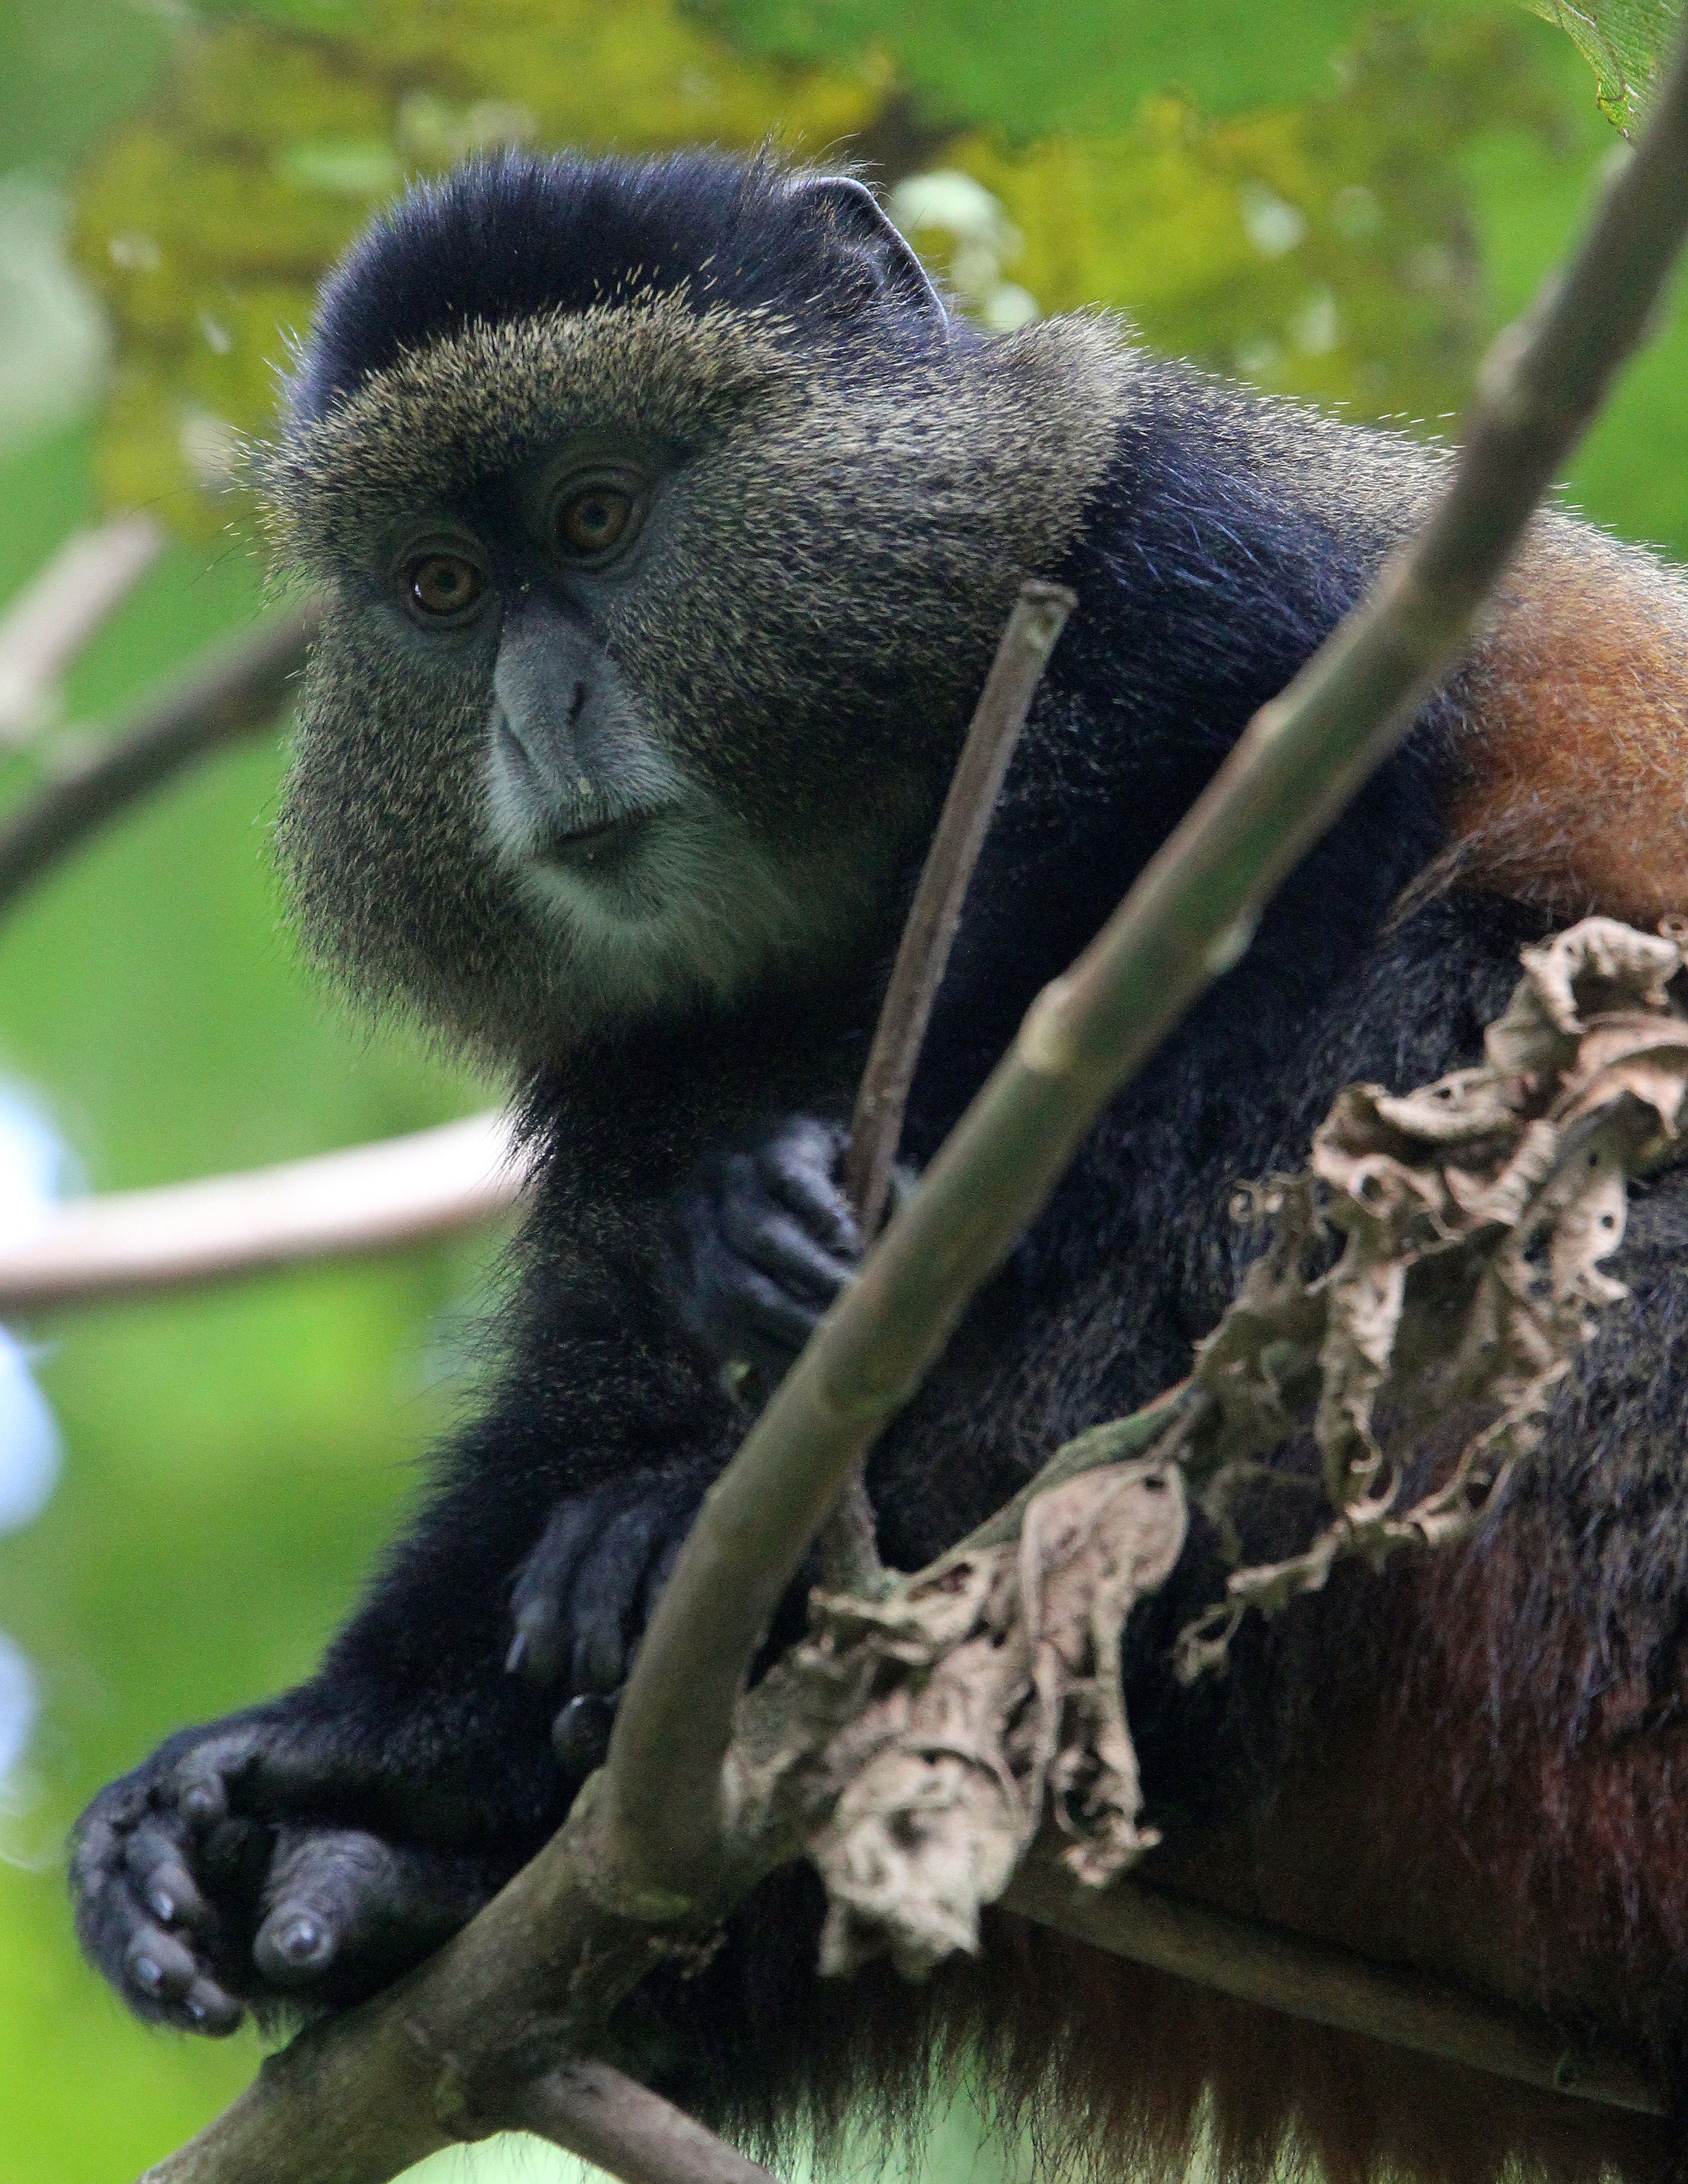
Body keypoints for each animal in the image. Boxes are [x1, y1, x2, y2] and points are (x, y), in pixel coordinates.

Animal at [65, 147, 1688, 2184]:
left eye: (597, 517)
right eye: (439, 586)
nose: (536, 714)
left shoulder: (1203, 580)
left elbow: (1233, 968)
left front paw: (701, 1422)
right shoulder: (631, 1062)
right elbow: (596, 1357)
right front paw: (357, 1739)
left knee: (1409, 1026)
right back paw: (404, 1873)